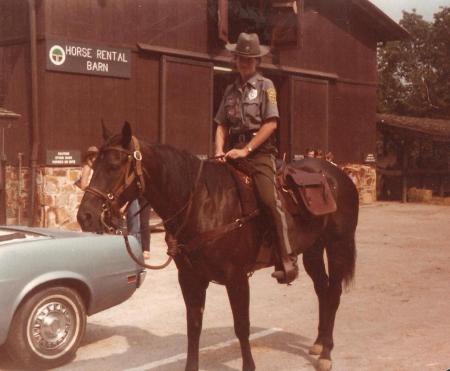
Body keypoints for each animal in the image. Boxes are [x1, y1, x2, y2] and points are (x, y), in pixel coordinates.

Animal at [77, 123, 358, 371]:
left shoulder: (237, 279)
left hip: (338, 245)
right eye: (94, 164)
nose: (85, 216)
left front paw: (249, 366)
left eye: (114, 166)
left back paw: (327, 353)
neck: (202, 202)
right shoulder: (190, 278)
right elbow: (194, 325)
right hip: (313, 249)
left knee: (333, 293)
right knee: (322, 289)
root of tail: (339, 175)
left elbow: (241, 326)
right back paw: (319, 343)